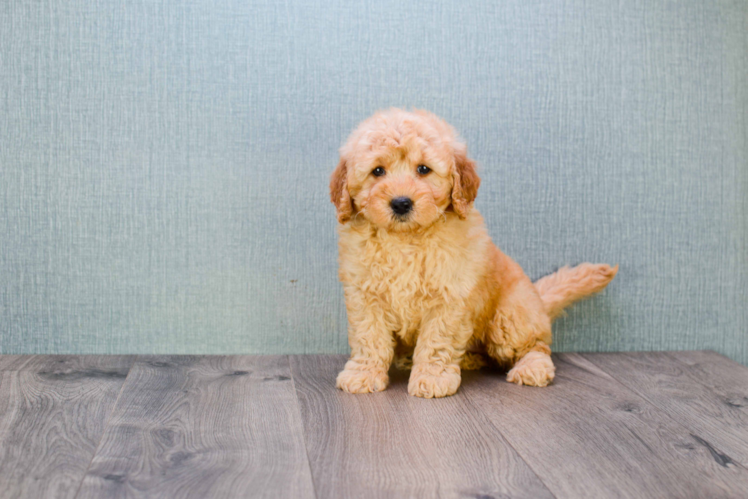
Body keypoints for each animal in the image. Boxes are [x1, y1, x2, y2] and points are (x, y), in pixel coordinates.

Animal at [330, 108, 616, 398]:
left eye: (423, 169)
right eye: (377, 171)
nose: (400, 203)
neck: (405, 239)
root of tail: (538, 301)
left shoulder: (449, 296)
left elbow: (437, 339)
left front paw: (432, 377)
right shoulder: (365, 295)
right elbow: (369, 337)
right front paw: (363, 373)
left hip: (510, 317)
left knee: (537, 345)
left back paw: (531, 367)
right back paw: (464, 358)